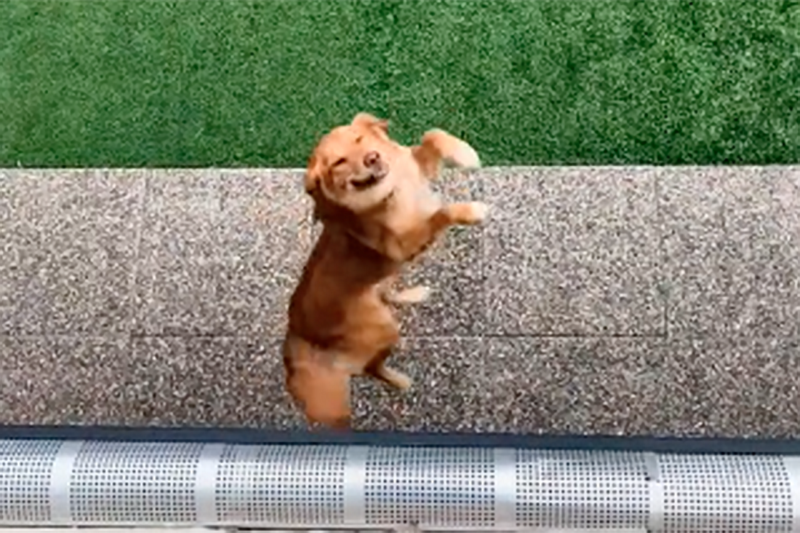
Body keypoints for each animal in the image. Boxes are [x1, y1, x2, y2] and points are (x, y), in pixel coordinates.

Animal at [284, 113, 490, 428]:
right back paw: (400, 380)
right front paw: (470, 211)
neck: (391, 190)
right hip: (380, 329)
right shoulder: (405, 244)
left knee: (387, 295)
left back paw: (414, 295)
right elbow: (440, 214)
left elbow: (433, 134)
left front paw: (464, 152)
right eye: (339, 162)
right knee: (370, 368)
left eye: (359, 139)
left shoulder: (420, 172)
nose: (372, 158)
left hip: (384, 288)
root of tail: (295, 331)